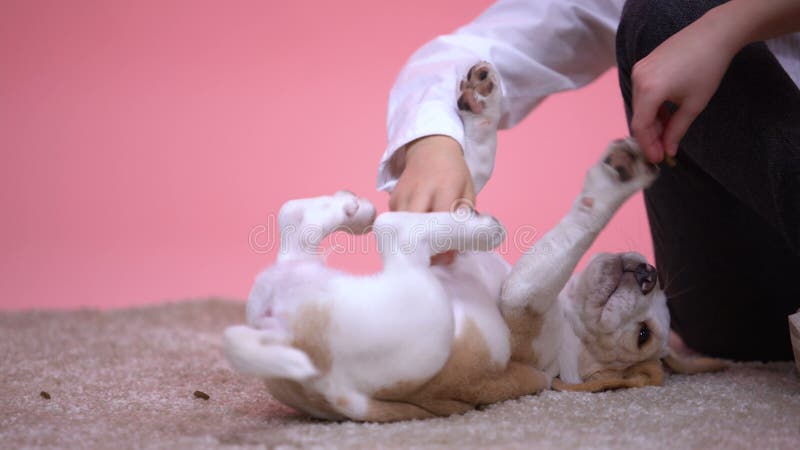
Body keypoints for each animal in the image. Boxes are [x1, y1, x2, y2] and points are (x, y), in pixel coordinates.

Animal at [225, 61, 724, 420]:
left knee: (395, 231)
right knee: (298, 220)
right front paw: (483, 104)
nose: (648, 273)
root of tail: (283, 339)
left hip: (426, 312)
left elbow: (574, 226)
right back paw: (350, 209)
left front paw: (611, 186)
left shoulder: (520, 295)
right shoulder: (456, 233)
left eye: (643, 335)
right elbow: (472, 163)